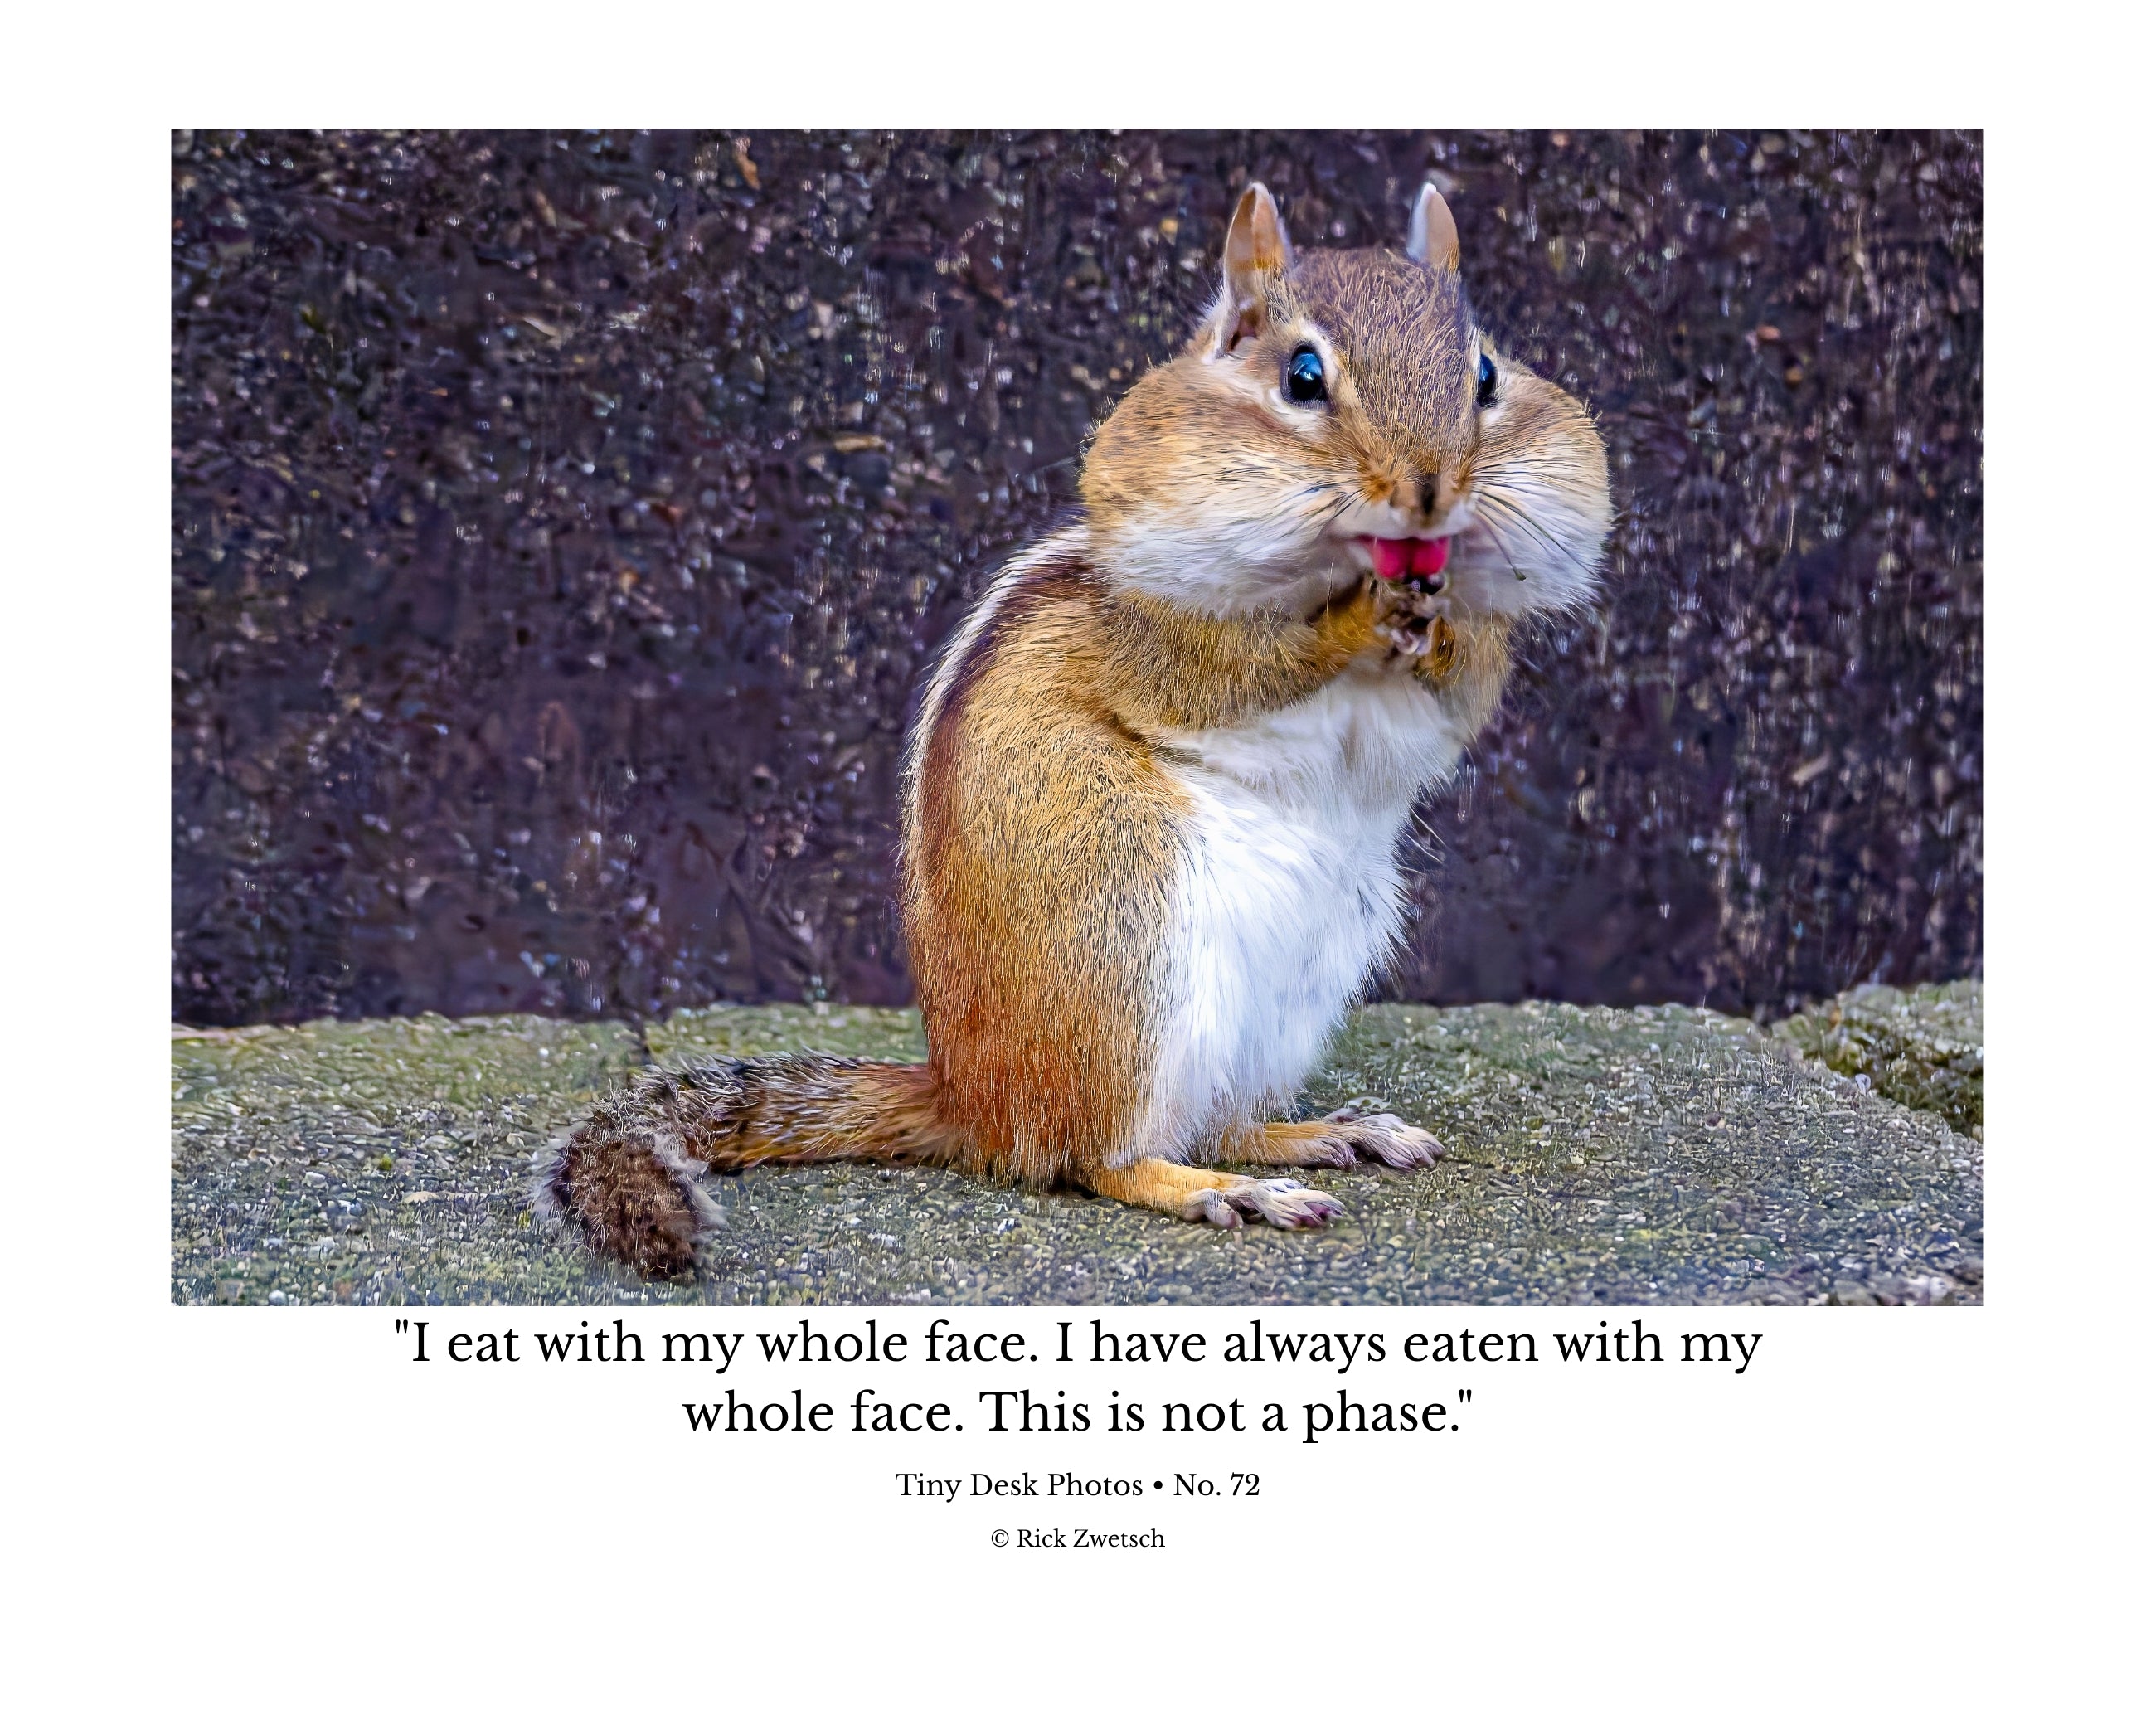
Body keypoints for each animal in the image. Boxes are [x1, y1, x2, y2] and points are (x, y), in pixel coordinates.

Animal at [537, 181, 1612, 1277]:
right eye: (1302, 377)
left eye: (1485, 373)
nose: (1429, 491)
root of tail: (972, 1100)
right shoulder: (1163, 632)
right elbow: (1237, 669)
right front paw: (1356, 618)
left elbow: (1460, 688)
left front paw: (1440, 617)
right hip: (1123, 934)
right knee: (1095, 1156)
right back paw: (1215, 1188)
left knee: (1213, 1120)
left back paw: (1316, 1135)